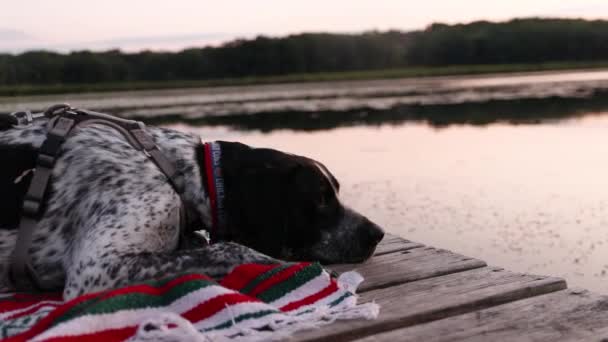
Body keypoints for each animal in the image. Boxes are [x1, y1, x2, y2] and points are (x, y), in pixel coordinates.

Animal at [0, 115, 384, 300]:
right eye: (319, 199)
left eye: (335, 191)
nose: (378, 233)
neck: (177, 172)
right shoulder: (96, 269)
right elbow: (230, 248)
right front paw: (282, 265)